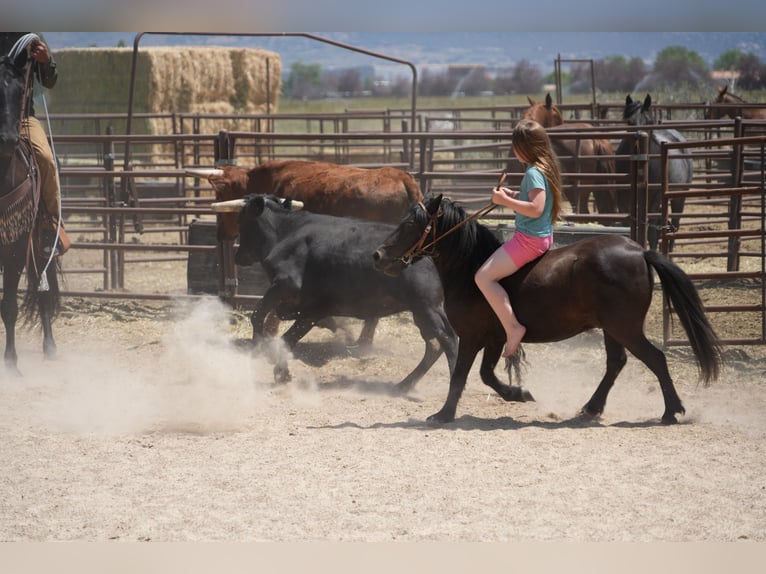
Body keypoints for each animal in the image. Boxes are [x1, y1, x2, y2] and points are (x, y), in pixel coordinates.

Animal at [372, 193, 723, 425]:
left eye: (409, 224)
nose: (377, 255)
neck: (470, 267)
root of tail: (639, 252)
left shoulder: (474, 336)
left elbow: (462, 375)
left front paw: (445, 414)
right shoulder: (494, 338)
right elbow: (485, 374)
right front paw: (517, 393)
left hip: (624, 327)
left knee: (655, 359)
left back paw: (671, 411)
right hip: (613, 328)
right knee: (616, 363)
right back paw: (591, 408)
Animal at [615, 94, 692, 250]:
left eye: (648, 122)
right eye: (629, 122)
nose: (638, 146)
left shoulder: (653, 202)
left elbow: (650, 231)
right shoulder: (623, 201)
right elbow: (627, 227)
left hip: (678, 198)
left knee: (674, 225)